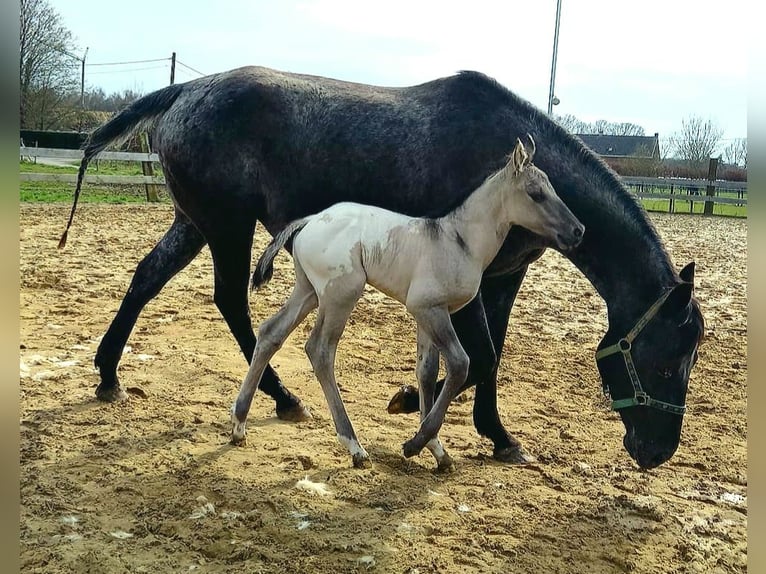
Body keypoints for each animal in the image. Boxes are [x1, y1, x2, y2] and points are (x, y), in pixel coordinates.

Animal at [61, 67, 708, 472]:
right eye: (666, 361)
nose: (657, 452)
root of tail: (185, 91)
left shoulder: (501, 280)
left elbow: (487, 357)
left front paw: (490, 433)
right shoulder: (462, 290)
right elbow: (477, 359)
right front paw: (421, 417)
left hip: (194, 224)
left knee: (147, 279)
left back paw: (110, 374)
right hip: (227, 229)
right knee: (232, 302)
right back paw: (281, 397)